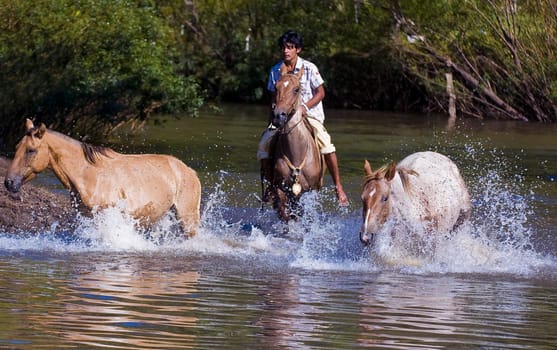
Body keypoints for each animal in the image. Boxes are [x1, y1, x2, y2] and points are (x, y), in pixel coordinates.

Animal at [4, 119, 201, 237]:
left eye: (31, 150)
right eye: (16, 147)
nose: (9, 183)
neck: (89, 175)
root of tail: (189, 171)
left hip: (187, 219)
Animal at [272, 65, 324, 221]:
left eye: (296, 89)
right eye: (276, 87)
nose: (278, 116)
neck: (296, 154)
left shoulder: (309, 191)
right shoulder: (281, 188)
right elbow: (285, 213)